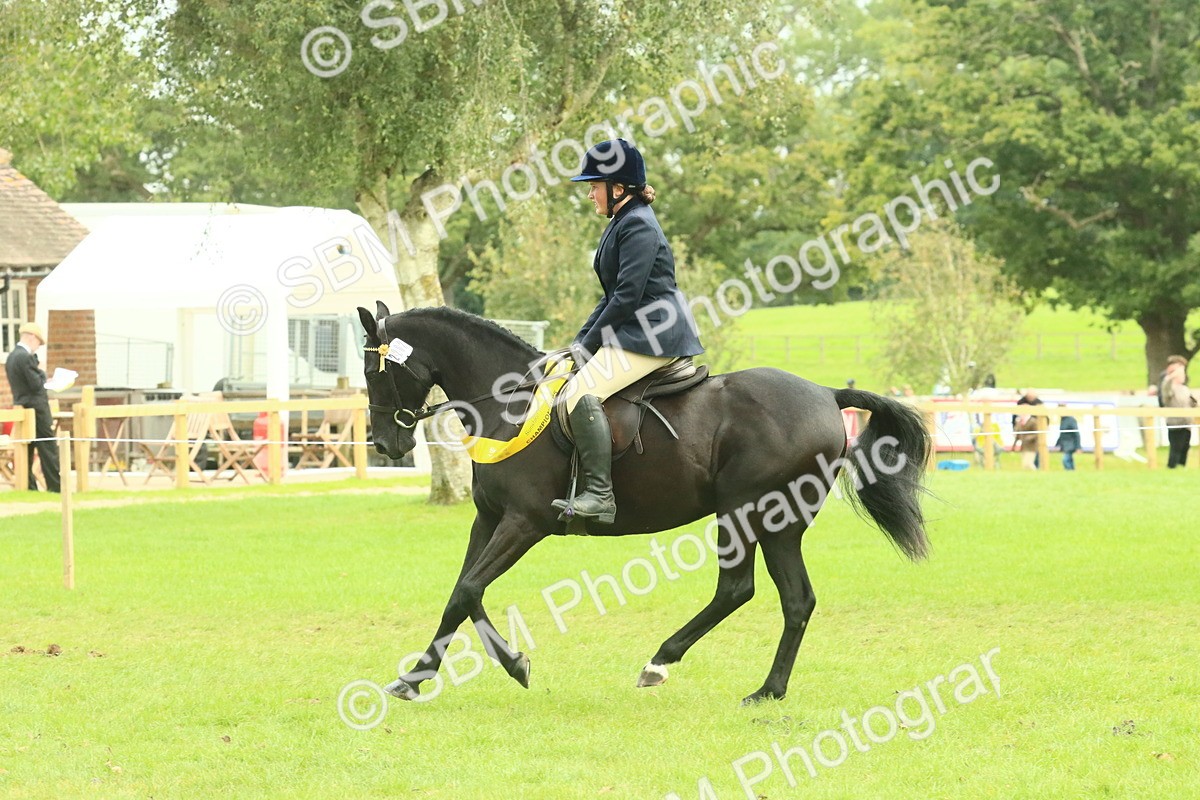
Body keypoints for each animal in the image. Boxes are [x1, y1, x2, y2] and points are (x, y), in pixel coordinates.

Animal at [357, 302, 931, 705]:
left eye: (373, 372)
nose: (385, 444)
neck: (509, 403)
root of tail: (826, 394)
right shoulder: (490, 518)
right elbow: (460, 593)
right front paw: (415, 678)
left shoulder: (525, 522)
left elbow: (470, 589)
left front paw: (514, 664)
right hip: (777, 523)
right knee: (794, 600)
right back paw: (768, 690)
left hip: (747, 511)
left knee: (739, 589)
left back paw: (661, 663)